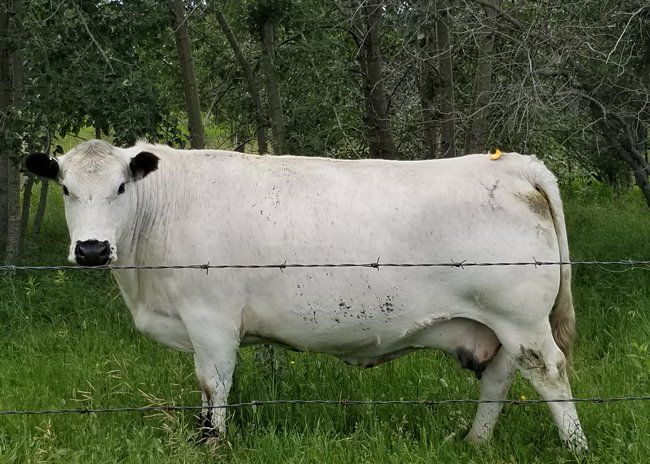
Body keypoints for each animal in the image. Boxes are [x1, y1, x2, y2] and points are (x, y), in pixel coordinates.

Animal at [25, 140, 588, 452]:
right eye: (66, 189)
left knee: (550, 373)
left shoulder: (211, 320)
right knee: (498, 378)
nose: (92, 249)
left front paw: (211, 442)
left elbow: (213, 386)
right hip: (500, 325)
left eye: (121, 187)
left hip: (522, 321)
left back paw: (576, 446)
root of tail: (509, 163)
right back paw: (475, 441)